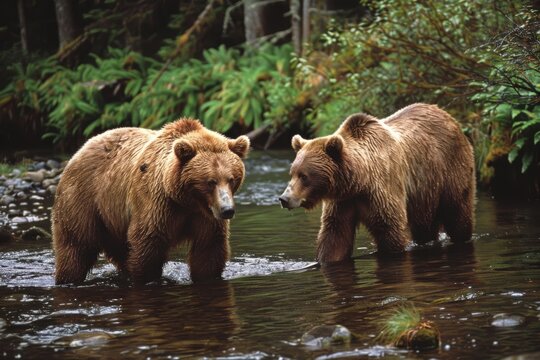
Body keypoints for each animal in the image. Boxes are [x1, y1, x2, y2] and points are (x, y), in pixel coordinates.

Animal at [51, 119, 250, 286]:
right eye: (210, 181)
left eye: (231, 179)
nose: (227, 210)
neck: (186, 200)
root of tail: (79, 151)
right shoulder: (156, 203)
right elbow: (147, 244)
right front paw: (149, 278)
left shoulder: (204, 215)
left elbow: (208, 249)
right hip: (83, 200)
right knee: (76, 247)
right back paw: (67, 279)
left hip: (112, 222)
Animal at [280, 102, 474, 262]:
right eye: (292, 173)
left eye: (304, 176)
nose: (284, 198)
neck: (358, 181)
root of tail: (449, 117)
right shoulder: (342, 202)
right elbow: (335, 236)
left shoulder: (381, 189)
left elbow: (390, 229)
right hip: (425, 194)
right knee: (425, 226)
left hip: (451, 170)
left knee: (457, 212)